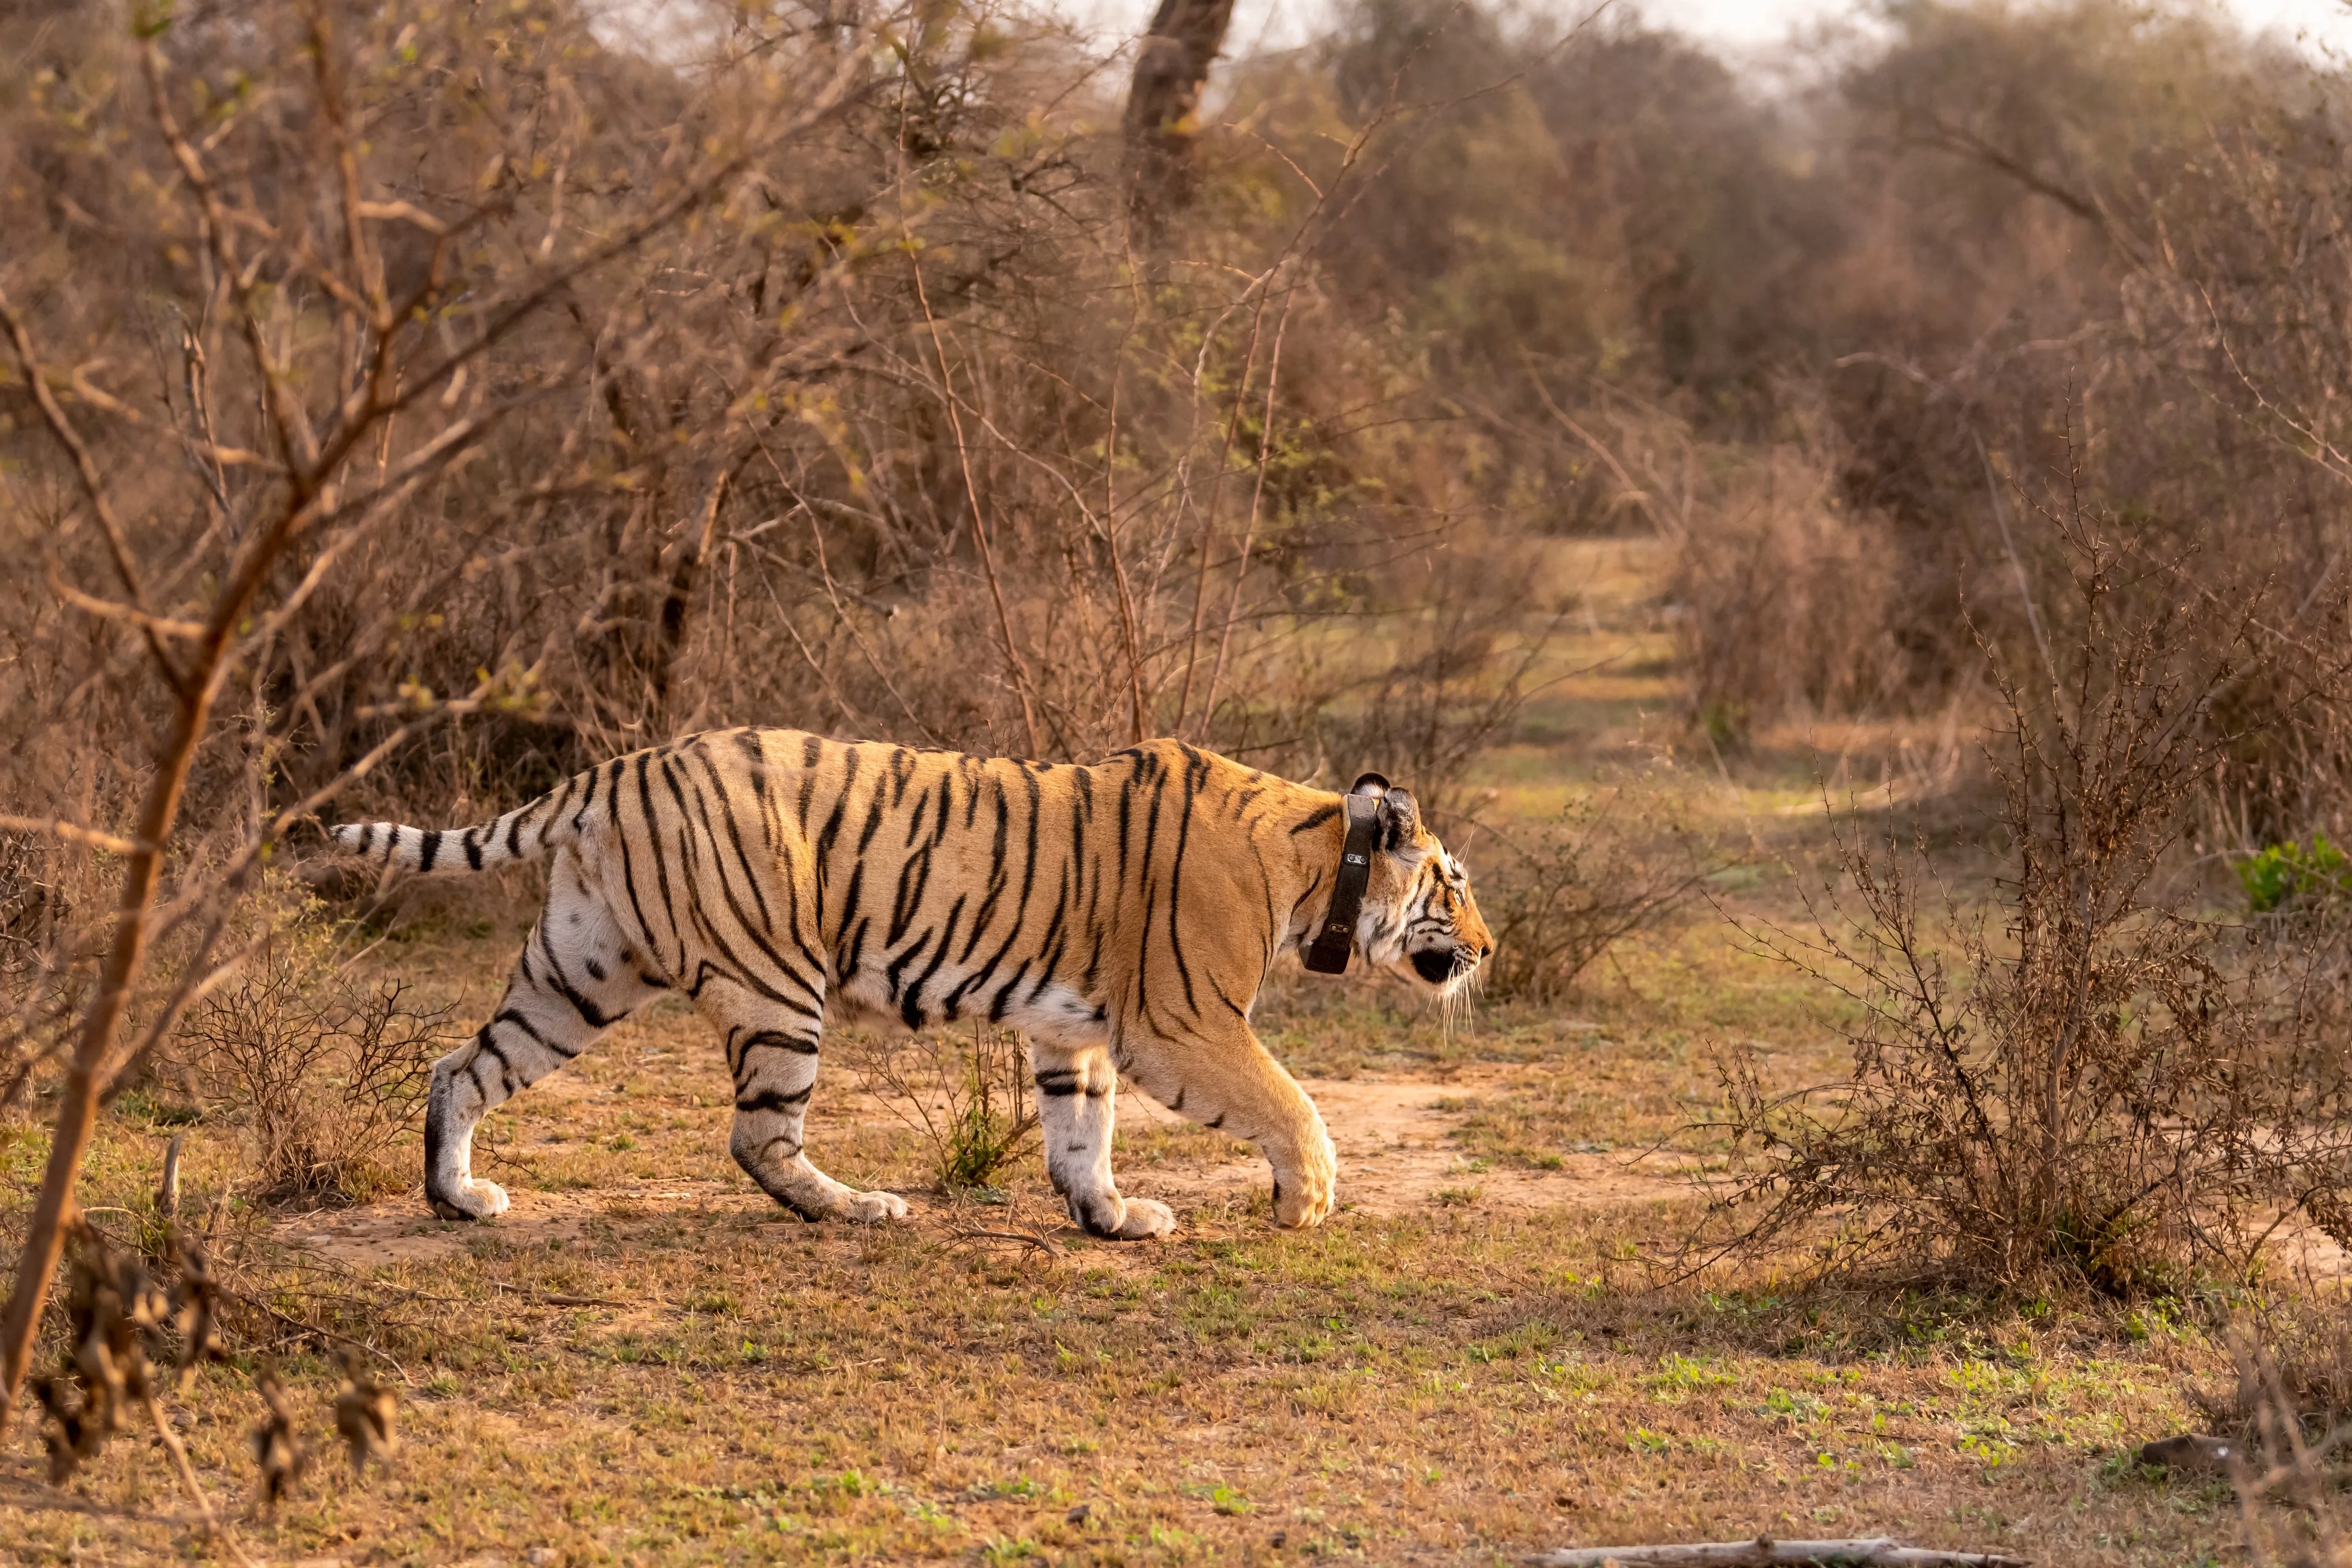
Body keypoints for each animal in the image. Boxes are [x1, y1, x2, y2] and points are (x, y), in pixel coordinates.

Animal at [328, 730, 1491, 1237]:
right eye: (1456, 881)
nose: (1485, 950)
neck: (1321, 862)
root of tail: (617, 769)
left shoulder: (1075, 1031)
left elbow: (1082, 1131)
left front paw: (1109, 1215)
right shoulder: (1185, 1024)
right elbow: (1293, 1104)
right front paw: (1308, 1201)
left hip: (580, 971)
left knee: (461, 1065)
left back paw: (459, 1197)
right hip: (775, 986)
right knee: (759, 1137)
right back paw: (861, 1207)